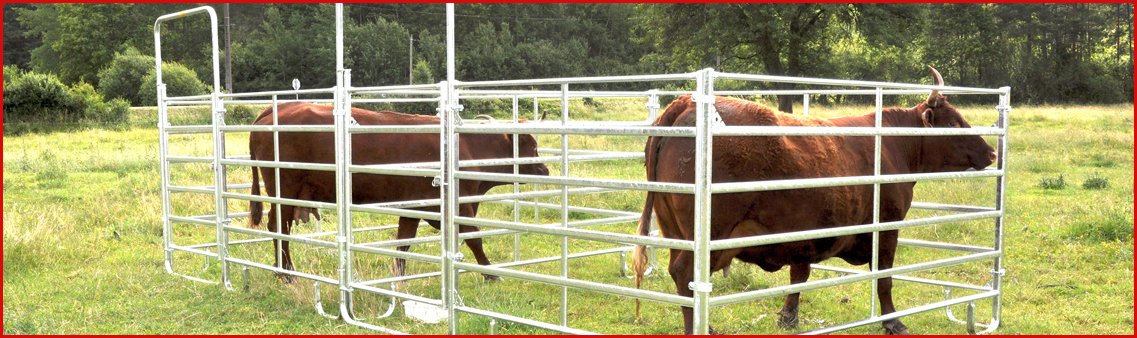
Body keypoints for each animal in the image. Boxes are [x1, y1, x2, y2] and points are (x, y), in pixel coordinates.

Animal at [249, 102, 550, 281]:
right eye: (532, 145)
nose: (545, 170)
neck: (466, 147)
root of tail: (277, 109)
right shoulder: (461, 204)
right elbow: (474, 238)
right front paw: (489, 272)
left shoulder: (413, 206)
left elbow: (403, 243)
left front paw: (398, 277)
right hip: (284, 189)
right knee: (279, 226)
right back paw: (286, 273)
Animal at [632, 67, 996, 332]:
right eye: (954, 123)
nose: (992, 152)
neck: (894, 144)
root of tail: (686, 103)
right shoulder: (887, 226)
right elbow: (885, 278)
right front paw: (893, 322)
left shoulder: (803, 235)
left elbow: (798, 276)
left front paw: (788, 317)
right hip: (706, 234)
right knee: (685, 274)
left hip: (673, 229)